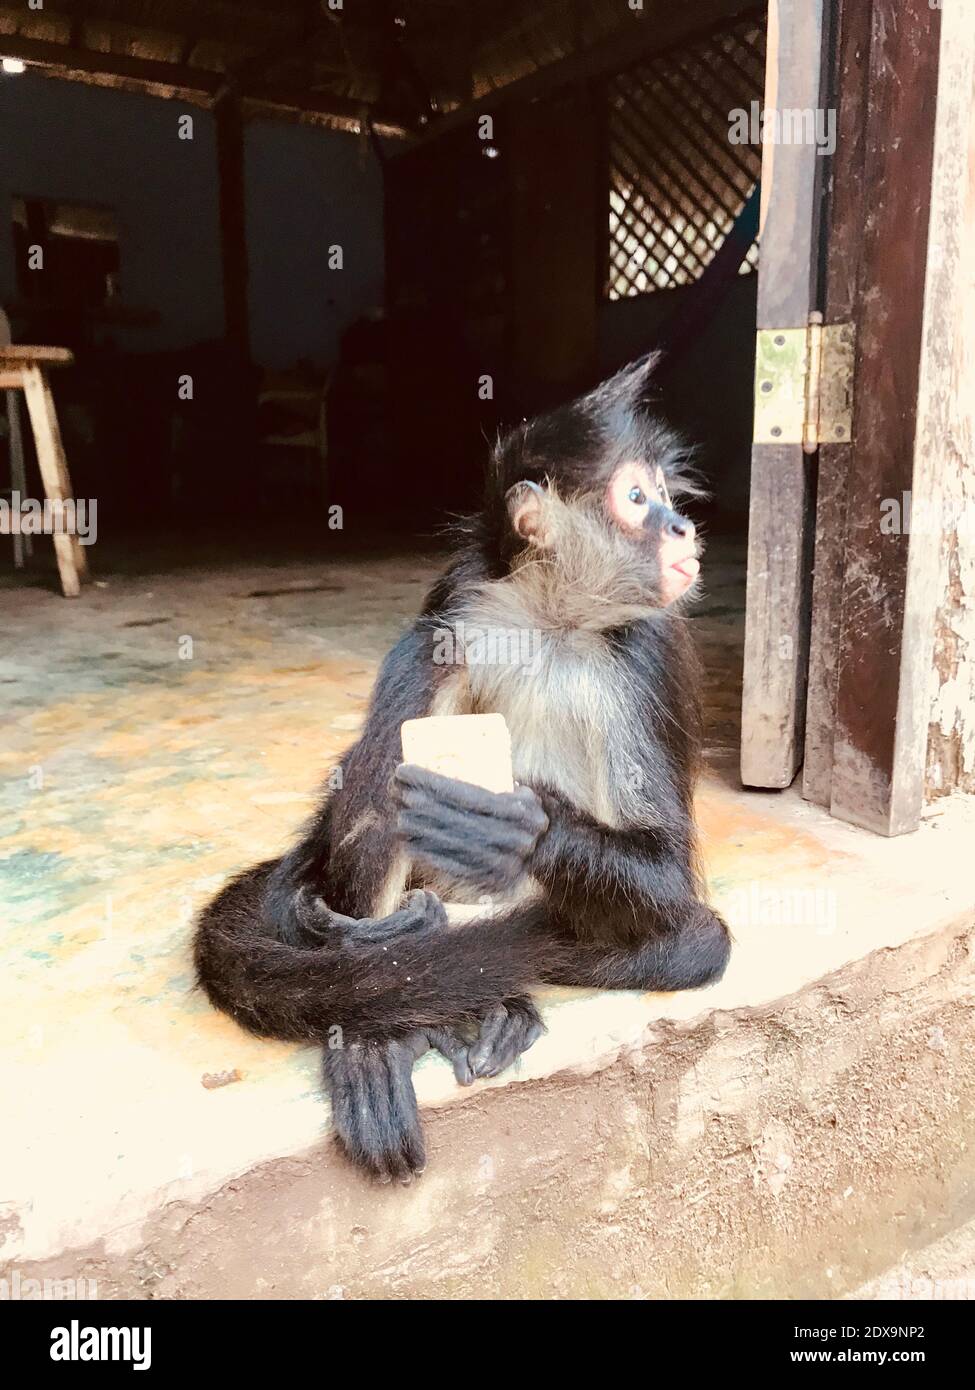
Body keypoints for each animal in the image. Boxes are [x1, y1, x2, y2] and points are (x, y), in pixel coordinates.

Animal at [194, 352, 731, 1183]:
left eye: (666, 499)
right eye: (637, 498)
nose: (680, 527)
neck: (553, 618)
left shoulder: (649, 644)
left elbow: (670, 881)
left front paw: (520, 831)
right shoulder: (464, 599)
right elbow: (372, 772)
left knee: (694, 943)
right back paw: (385, 1017)